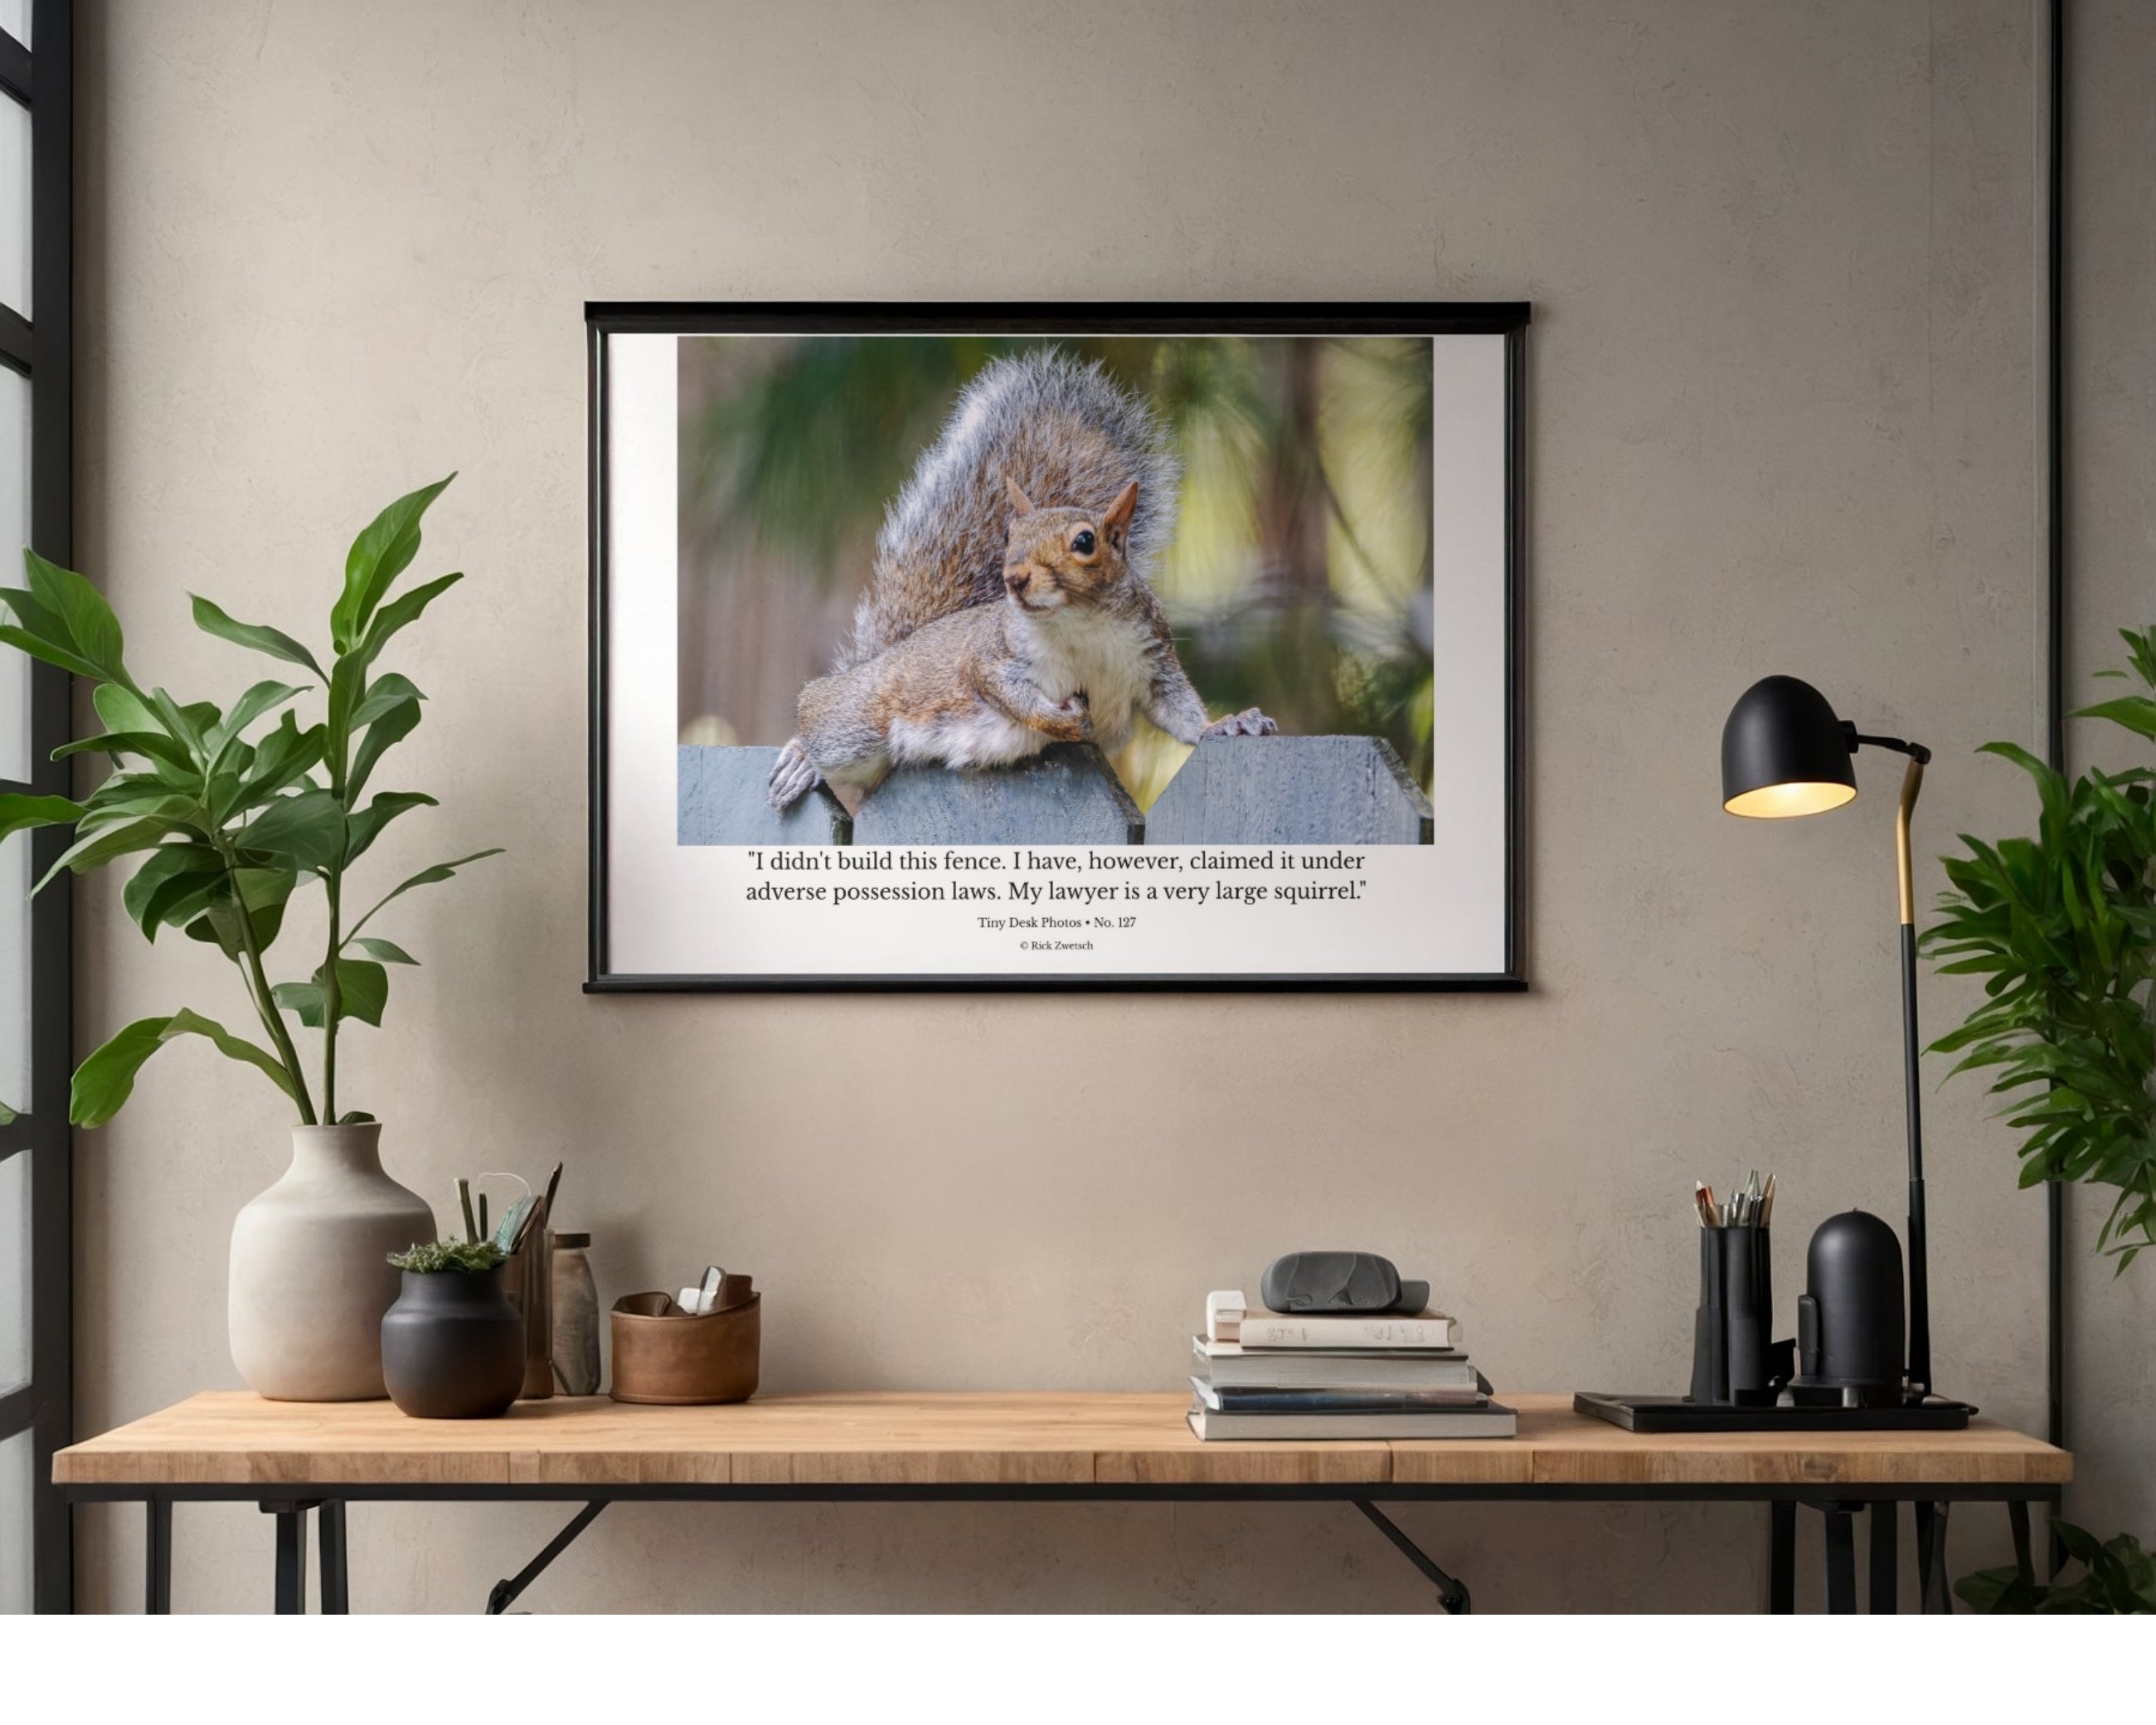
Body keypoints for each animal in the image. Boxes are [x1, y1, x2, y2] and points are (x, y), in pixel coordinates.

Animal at [766, 349, 1274, 812]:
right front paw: (1064, 724)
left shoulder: (1153, 659)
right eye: (1010, 535)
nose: (1012, 576)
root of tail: (882, 658)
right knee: (818, 720)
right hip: (858, 721)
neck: (1082, 625)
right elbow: (1007, 694)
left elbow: (1180, 712)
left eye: (1085, 541)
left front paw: (1228, 724)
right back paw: (801, 761)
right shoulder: (992, 656)